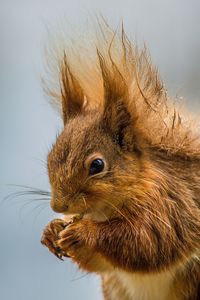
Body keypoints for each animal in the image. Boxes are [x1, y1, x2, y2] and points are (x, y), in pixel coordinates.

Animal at [41, 22, 200, 300]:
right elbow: (101, 262)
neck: (106, 210)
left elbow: (148, 242)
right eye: (50, 157)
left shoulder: (171, 206)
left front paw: (85, 232)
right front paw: (52, 229)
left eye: (97, 165)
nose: (58, 206)